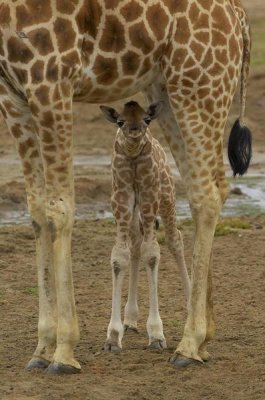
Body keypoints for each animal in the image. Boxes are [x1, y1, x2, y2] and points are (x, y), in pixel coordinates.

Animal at [99, 101, 190, 352]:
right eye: (120, 121)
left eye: (147, 119)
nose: (134, 132)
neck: (132, 157)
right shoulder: (120, 200)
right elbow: (119, 257)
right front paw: (113, 336)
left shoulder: (151, 197)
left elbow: (152, 254)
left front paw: (157, 335)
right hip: (134, 212)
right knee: (136, 244)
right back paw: (130, 319)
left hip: (167, 196)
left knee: (175, 239)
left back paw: (192, 307)